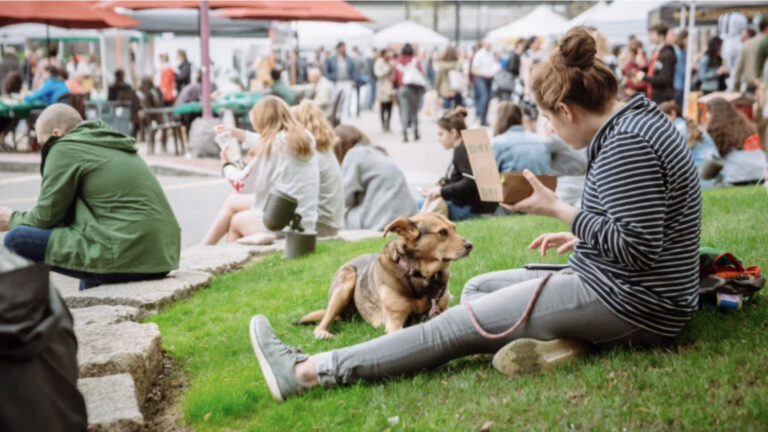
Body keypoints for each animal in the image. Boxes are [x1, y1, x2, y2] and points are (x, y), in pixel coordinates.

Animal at [296, 214, 472, 340]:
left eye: (454, 228)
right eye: (442, 232)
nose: (470, 245)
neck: (420, 276)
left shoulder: (443, 309)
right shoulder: (394, 321)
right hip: (346, 283)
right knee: (322, 323)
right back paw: (322, 333)